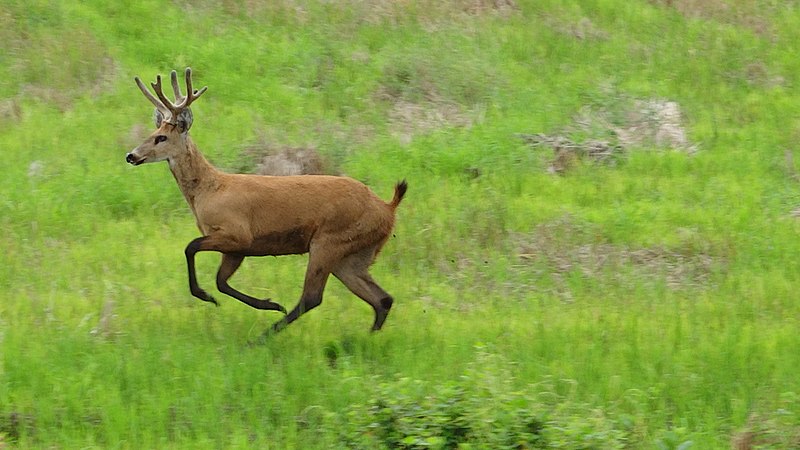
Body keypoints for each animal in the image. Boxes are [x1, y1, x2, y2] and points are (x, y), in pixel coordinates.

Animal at [125, 68, 407, 338]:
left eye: (161, 138)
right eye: (153, 132)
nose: (131, 155)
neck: (209, 190)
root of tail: (388, 207)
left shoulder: (238, 233)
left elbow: (191, 248)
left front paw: (212, 297)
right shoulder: (237, 248)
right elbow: (221, 281)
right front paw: (248, 301)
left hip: (329, 241)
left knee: (312, 297)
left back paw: (262, 337)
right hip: (353, 254)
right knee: (382, 298)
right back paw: (364, 339)